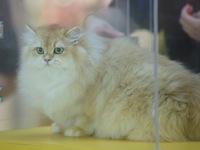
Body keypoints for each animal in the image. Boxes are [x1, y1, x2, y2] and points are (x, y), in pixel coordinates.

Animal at [16, 24, 200, 142]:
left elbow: (83, 121)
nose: (47, 59)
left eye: (58, 50)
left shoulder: (83, 106)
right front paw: (59, 127)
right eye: (40, 50)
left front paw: (75, 131)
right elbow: (64, 120)